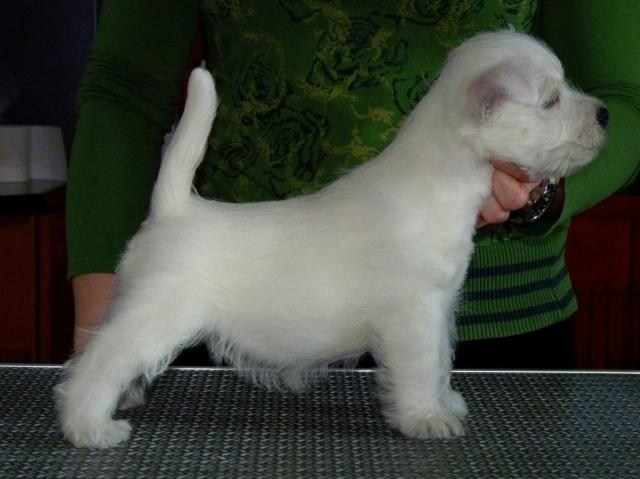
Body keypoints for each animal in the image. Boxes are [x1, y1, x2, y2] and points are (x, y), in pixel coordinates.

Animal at [56, 30, 607, 448]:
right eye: (551, 100)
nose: (603, 114)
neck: (441, 184)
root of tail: (173, 208)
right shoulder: (412, 315)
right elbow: (420, 367)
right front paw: (427, 419)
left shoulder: (439, 308)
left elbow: (440, 361)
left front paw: (445, 403)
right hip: (158, 314)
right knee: (96, 363)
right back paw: (90, 426)